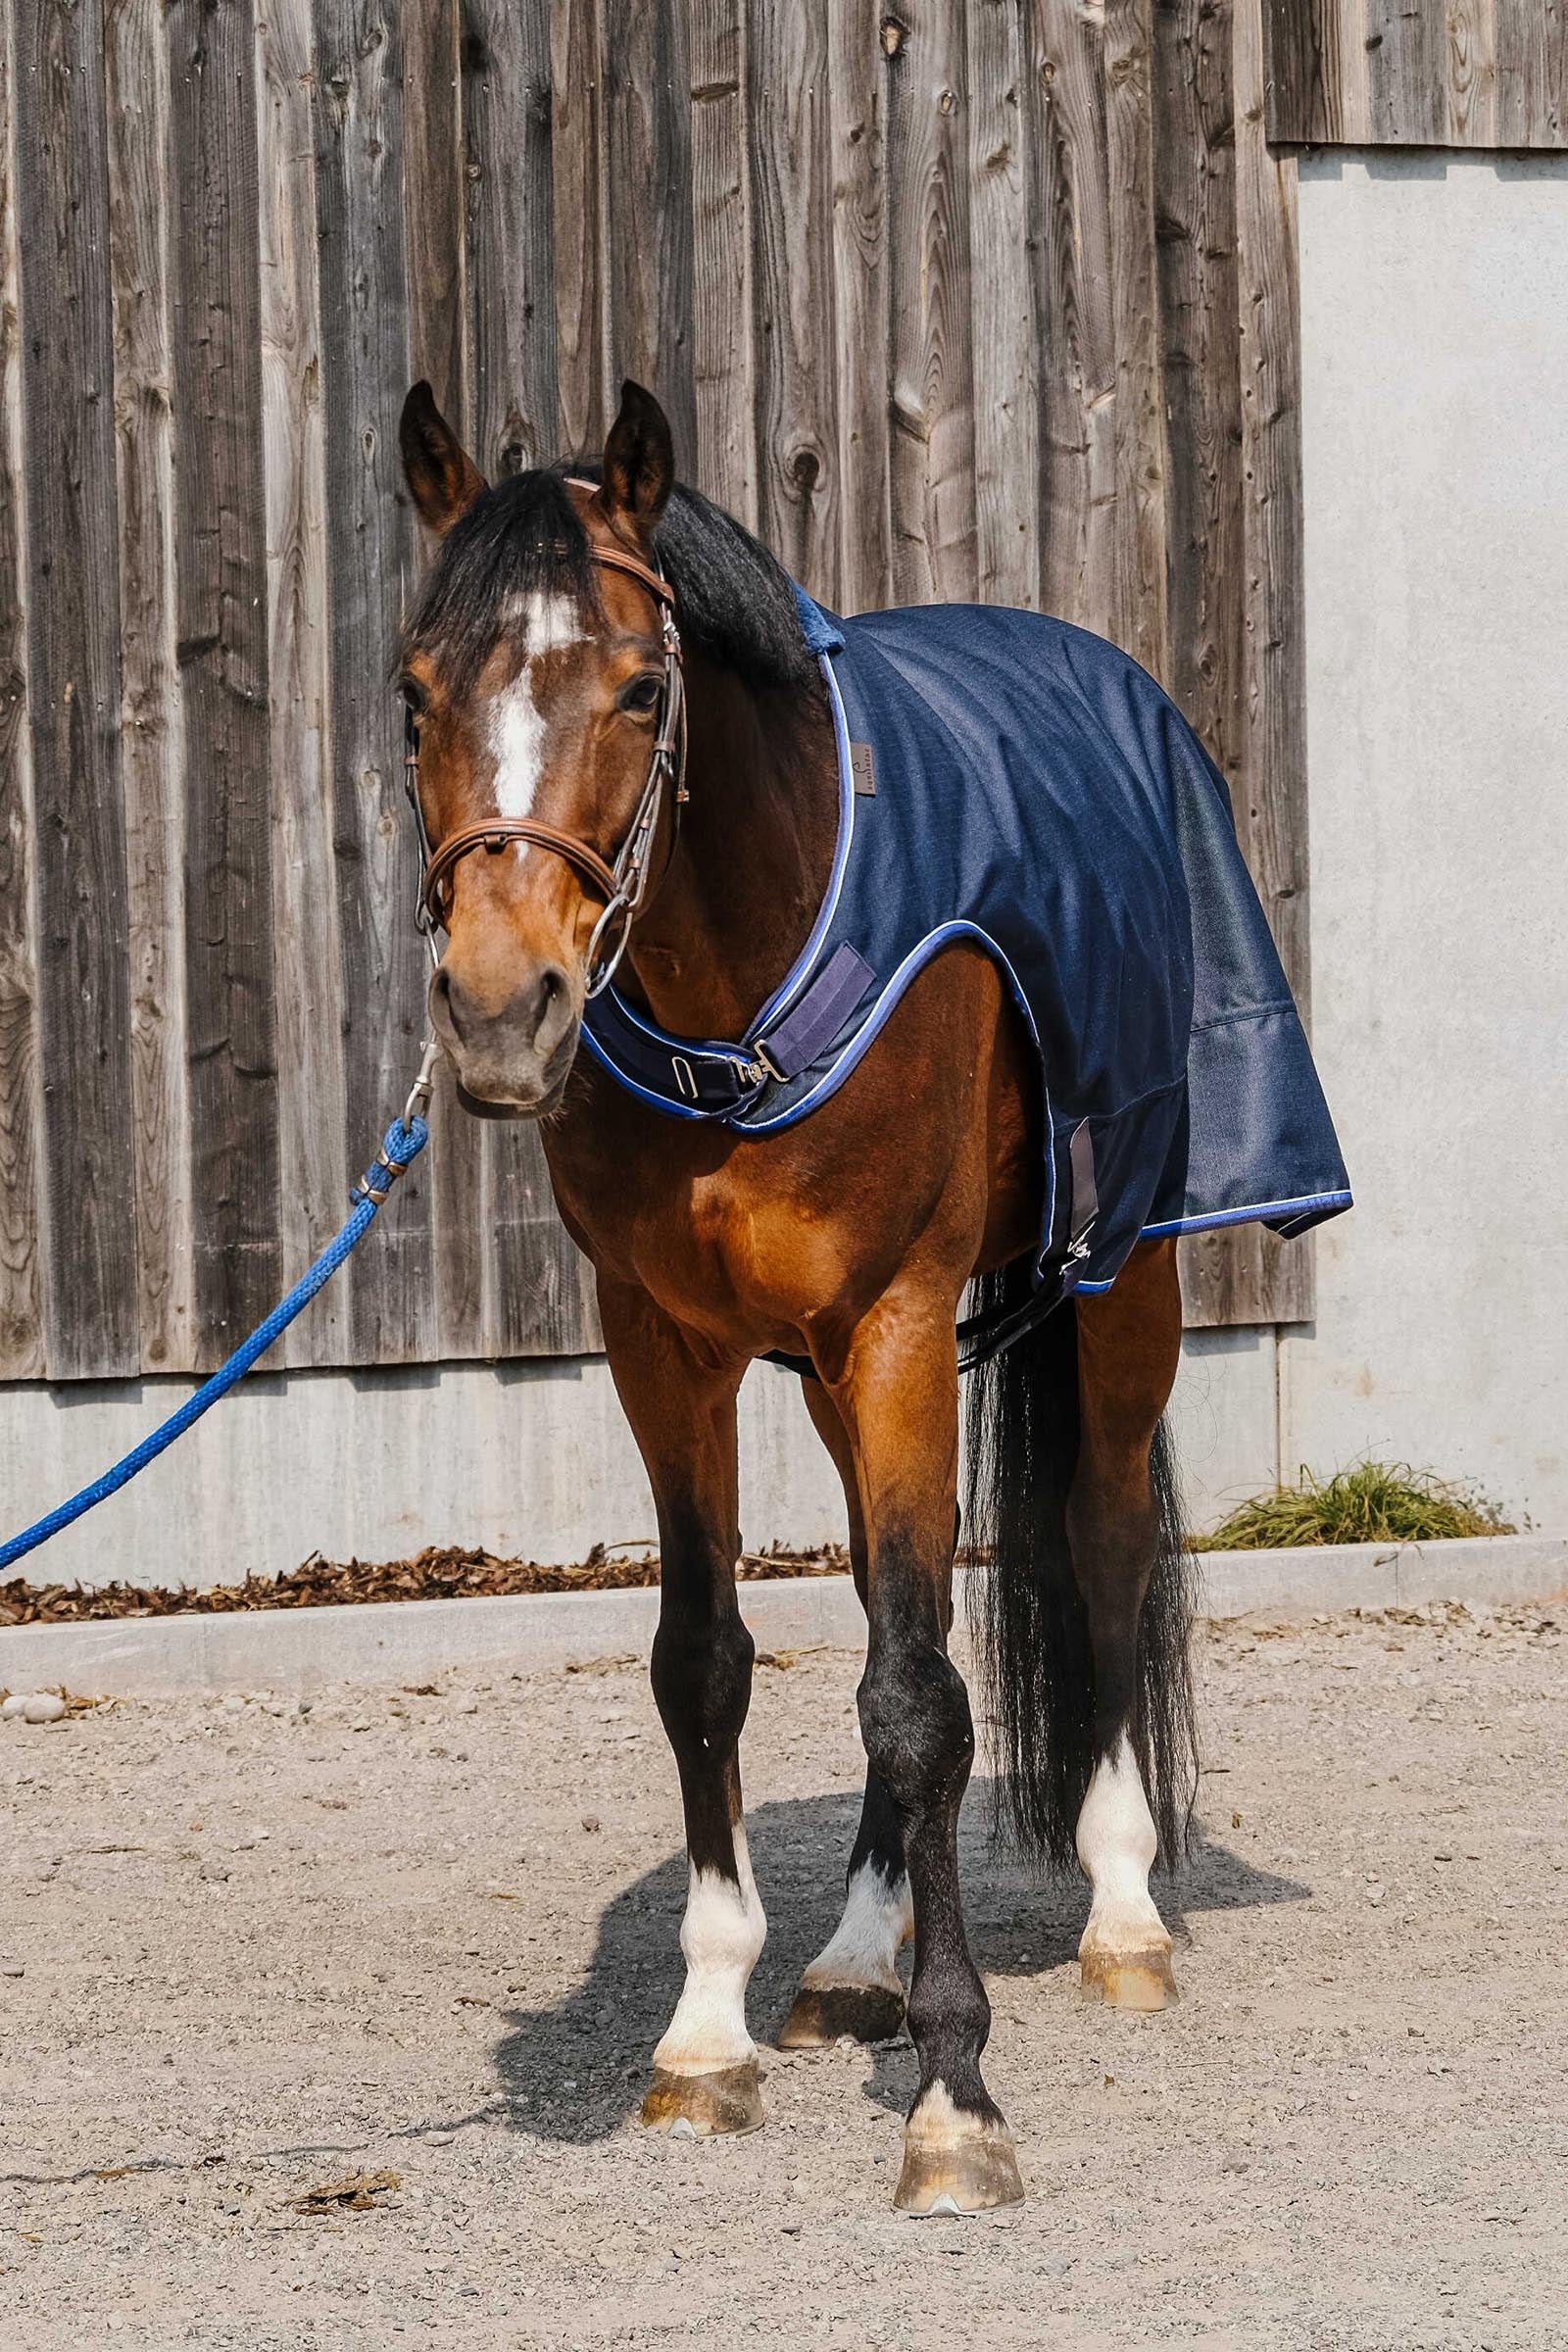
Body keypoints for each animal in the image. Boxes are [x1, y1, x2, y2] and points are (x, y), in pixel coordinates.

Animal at [392, 378, 1216, 2216]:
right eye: (414, 689)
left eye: (639, 687)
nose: (497, 1009)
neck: (744, 976)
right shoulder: (664, 1347)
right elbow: (711, 1663)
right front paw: (708, 2031)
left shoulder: (903, 1317)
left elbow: (919, 1698)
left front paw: (957, 2095)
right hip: (842, 1375)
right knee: (886, 1602)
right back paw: (849, 1955)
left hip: (1120, 1279)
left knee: (1102, 1541)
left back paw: (1126, 1908)